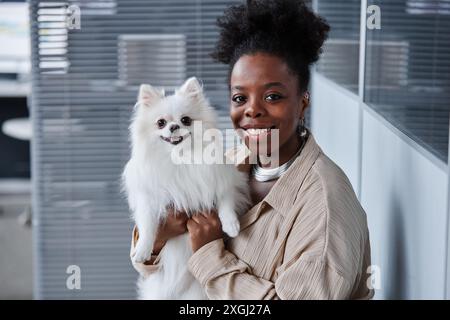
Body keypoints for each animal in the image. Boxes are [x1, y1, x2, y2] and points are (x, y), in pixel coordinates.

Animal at [121, 77, 251, 300]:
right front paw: (143, 250)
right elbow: (148, 225)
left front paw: (231, 225)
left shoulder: (225, 180)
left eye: (186, 120)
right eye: (161, 123)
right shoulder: (148, 199)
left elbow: (226, 201)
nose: (174, 127)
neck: (180, 158)